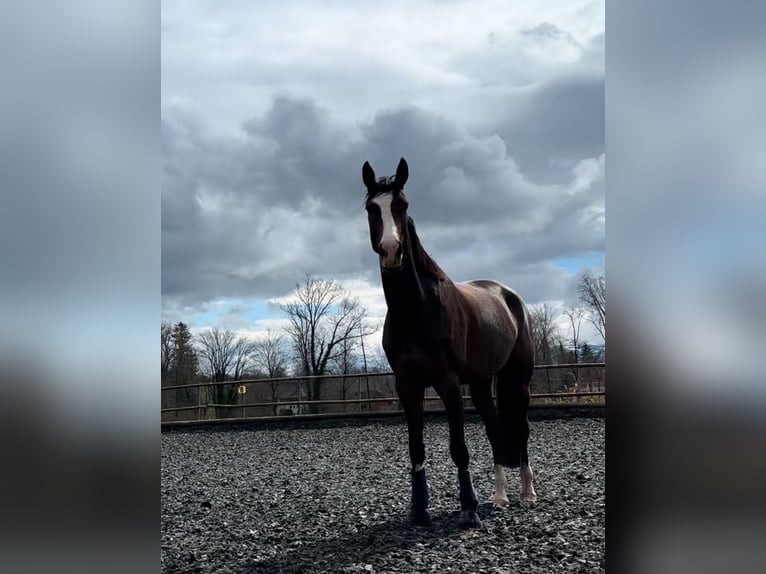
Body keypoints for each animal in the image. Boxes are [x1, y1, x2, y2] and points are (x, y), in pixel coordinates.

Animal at [362, 158, 536, 532]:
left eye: (403, 205)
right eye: (371, 208)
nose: (391, 251)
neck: (416, 311)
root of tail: (508, 294)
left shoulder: (449, 383)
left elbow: (459, 448)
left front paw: (469, 508)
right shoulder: (407, 385)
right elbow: (416, 448)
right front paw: (419, 510)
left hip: (519, 380)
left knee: (522, 429)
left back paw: (527, 493)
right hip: (483, 383)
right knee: (495, 430)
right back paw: (499, 497)